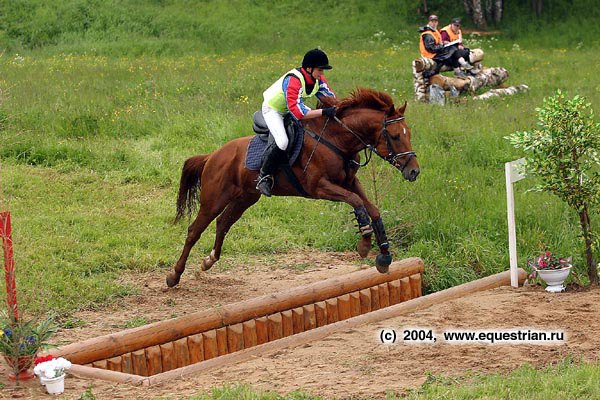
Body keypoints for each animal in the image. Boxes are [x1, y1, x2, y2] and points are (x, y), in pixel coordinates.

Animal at [164, 87, 418, 288]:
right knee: (194, 231)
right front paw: (365, 244)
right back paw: (174, 276)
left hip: (245, 198)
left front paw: (384, 256)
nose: (414, 171)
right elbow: (357, 203)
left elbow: (372, 209)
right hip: (214, 199)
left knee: (223, 223)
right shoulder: (320, 188)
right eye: (395, 136)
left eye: (409, 134)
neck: (336, 139)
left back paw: (209, 261)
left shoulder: (349, 183)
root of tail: (212, 156)